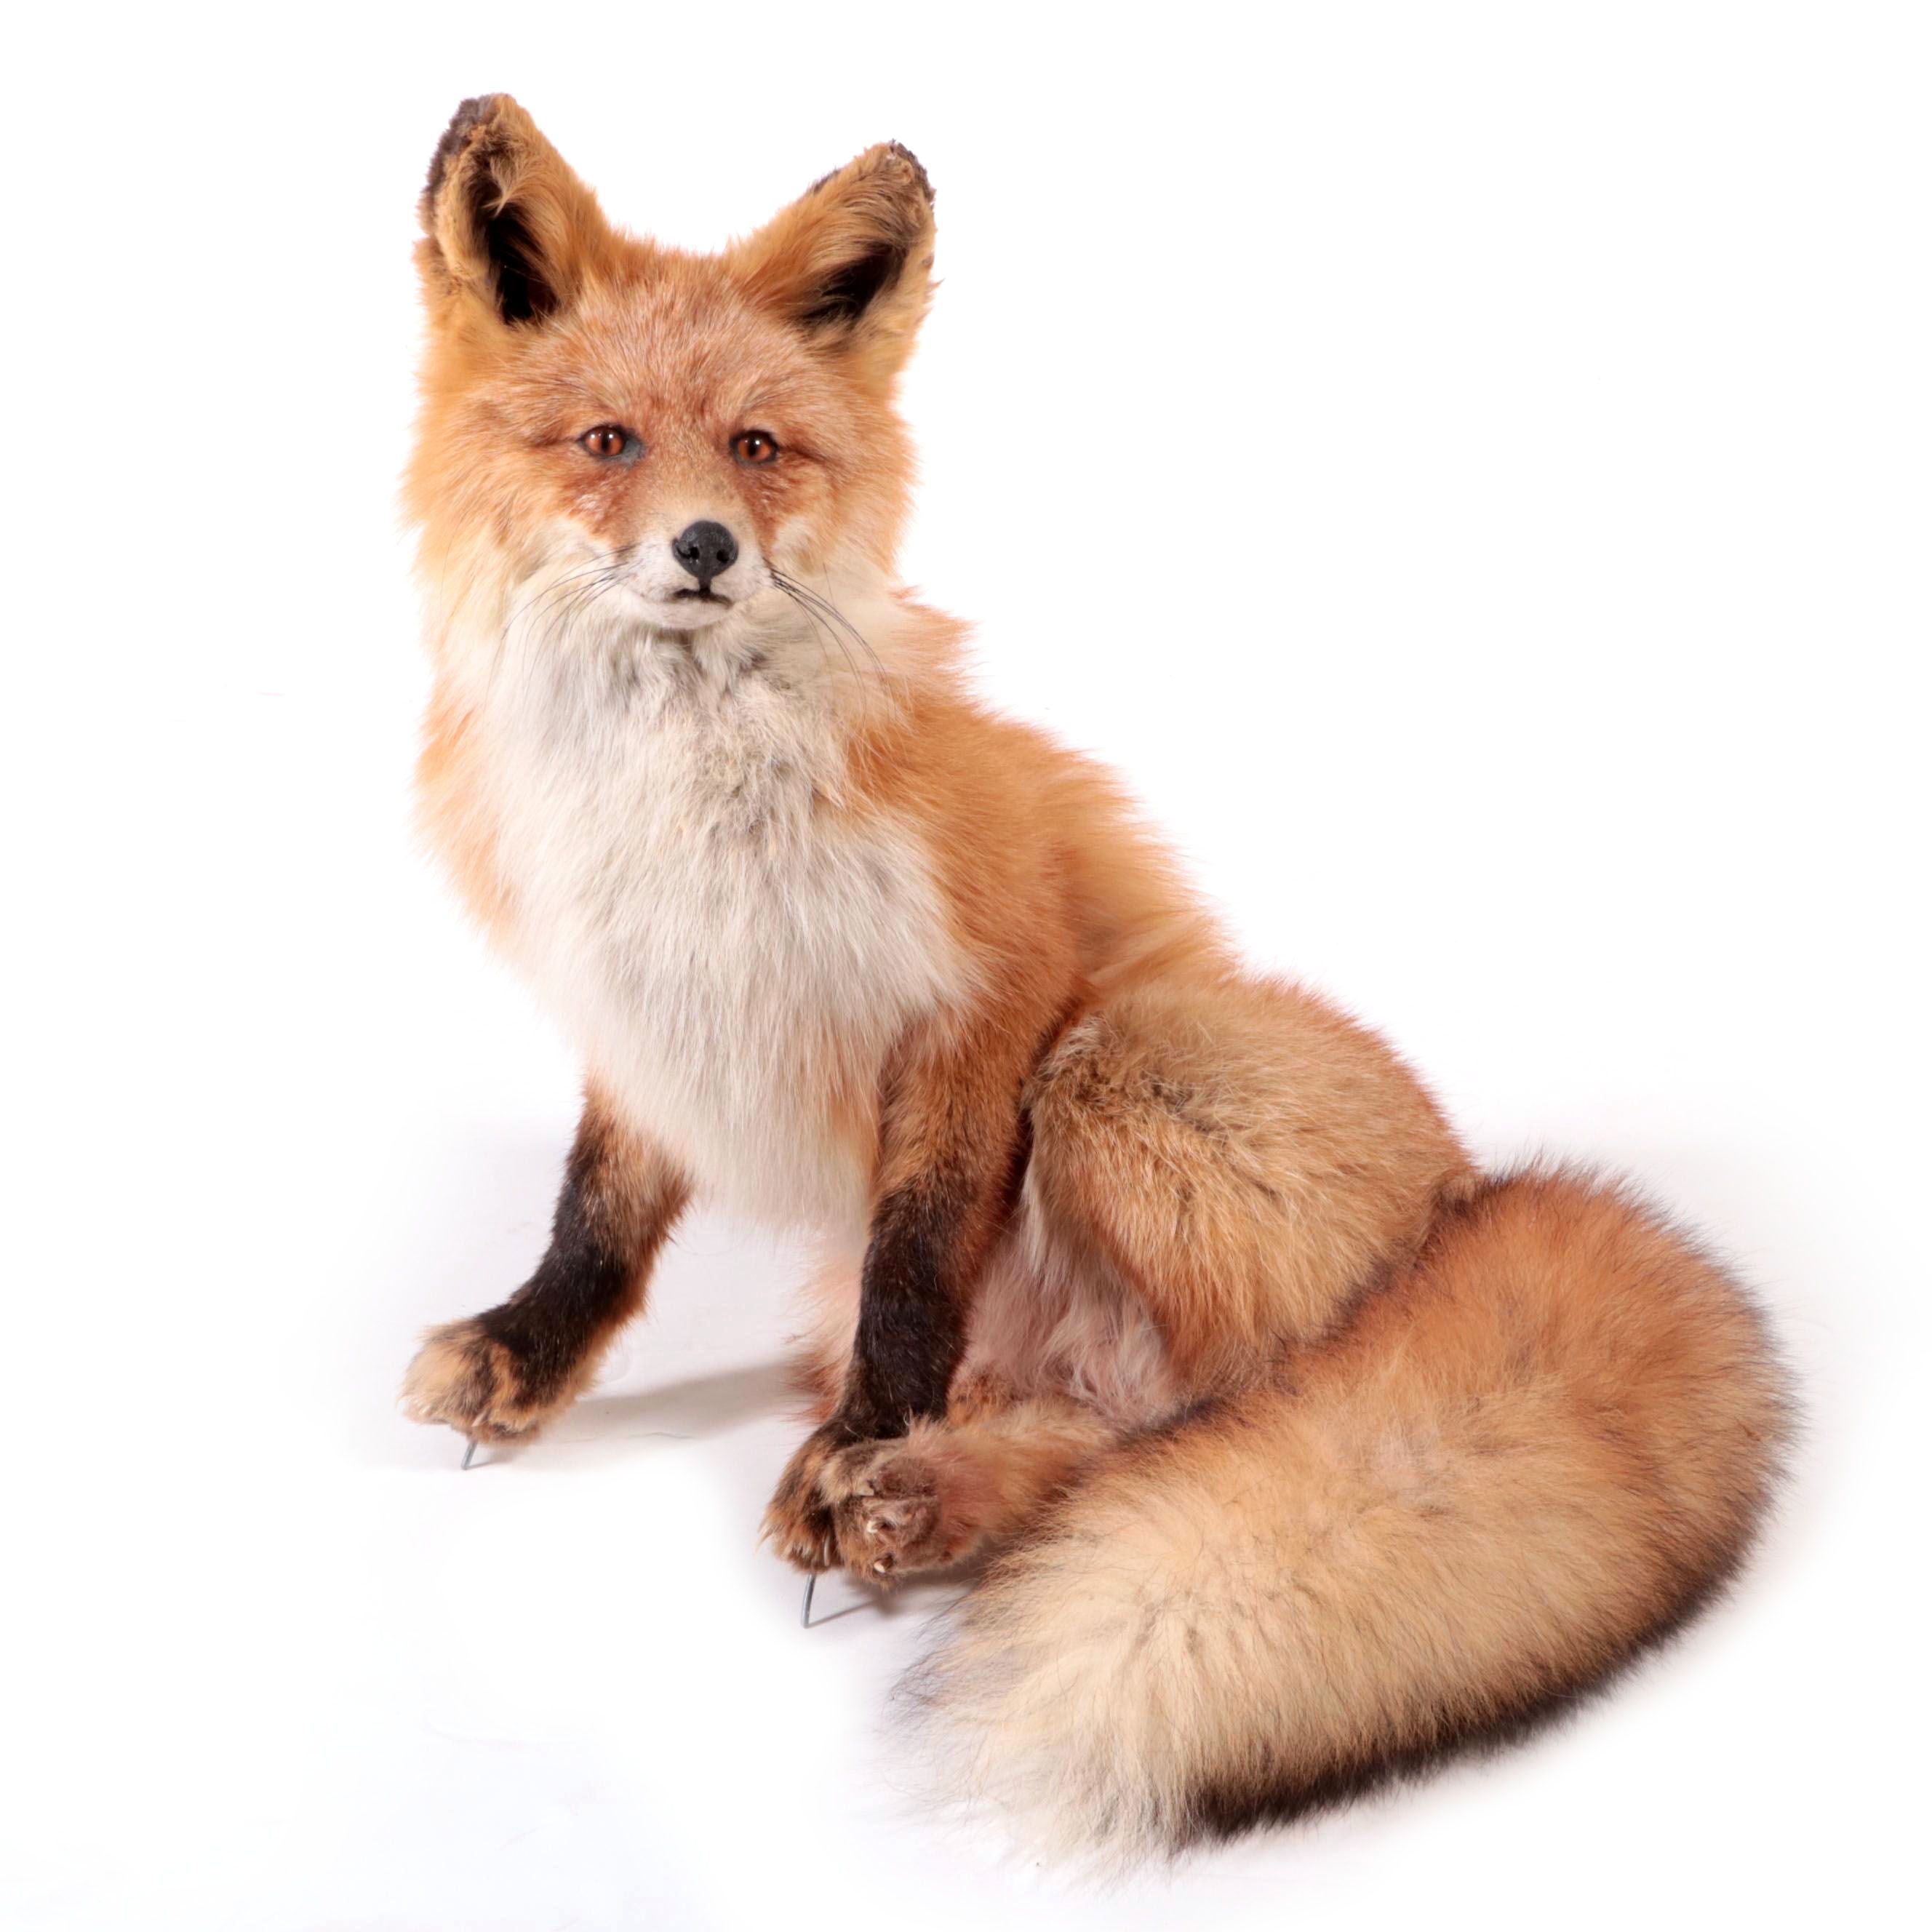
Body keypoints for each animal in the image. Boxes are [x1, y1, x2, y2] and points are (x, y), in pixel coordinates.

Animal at [398, 94, 1790, 1861]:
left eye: (758, 450)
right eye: (608, 443)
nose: (704, 548)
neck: (686, 781)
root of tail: (1472, 1191)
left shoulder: (982, 993)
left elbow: (913, 1268)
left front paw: (862, 1427)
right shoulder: (639, 1009)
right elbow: (598, 1212)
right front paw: (530, 1348)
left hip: (1123, 1062)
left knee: (1241, 1411)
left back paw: (932, 1476)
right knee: (1107, 1438)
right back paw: (933, 1498)